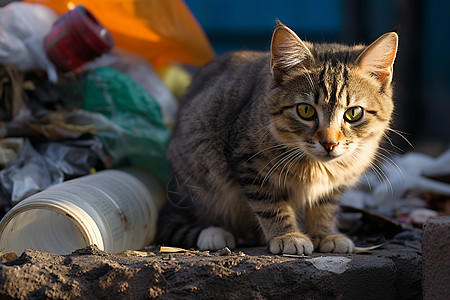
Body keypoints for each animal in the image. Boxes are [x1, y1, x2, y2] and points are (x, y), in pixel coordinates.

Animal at [157, 20, 398, 255]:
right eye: (305, 111)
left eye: (354, 113)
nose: (329, 143)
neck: (315, 166)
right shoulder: (250, 165)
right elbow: (271, 206)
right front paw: (287, 236)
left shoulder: (334, 184)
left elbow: (324, 206)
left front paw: (325, 234)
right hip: (201, 172)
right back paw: (214, 234)